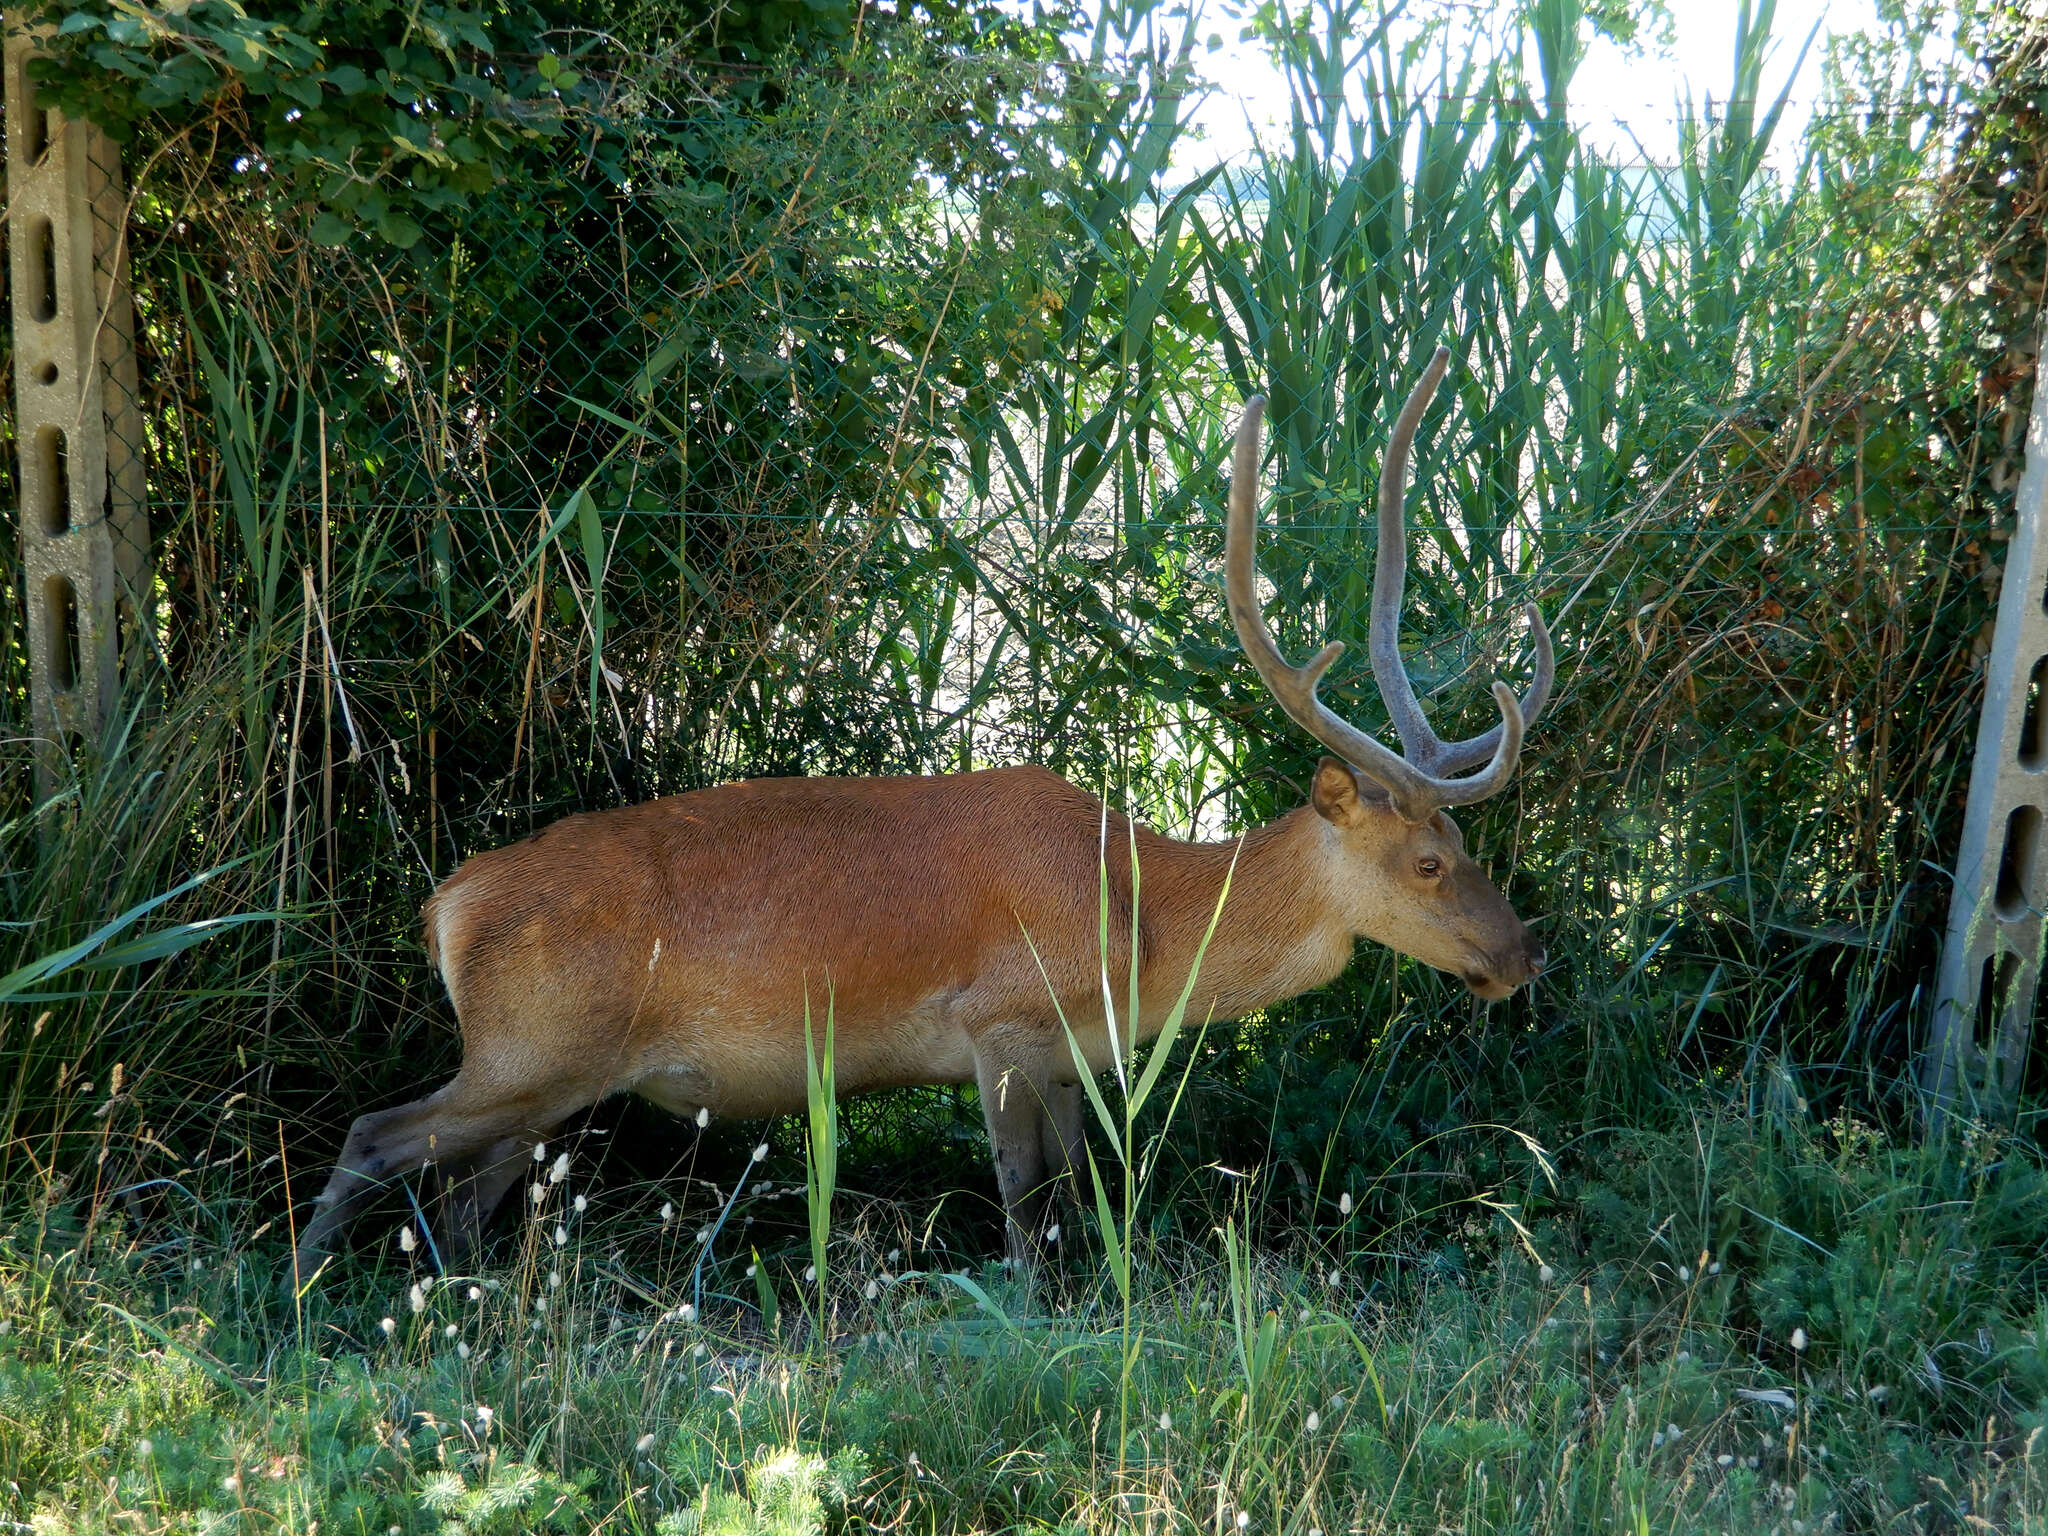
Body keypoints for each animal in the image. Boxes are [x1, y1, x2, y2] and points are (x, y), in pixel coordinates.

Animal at [296, 348, 1548, 1286]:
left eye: (1463, 845)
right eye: (1427, 860)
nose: (1522, 954)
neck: (1140, 929)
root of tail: (445, 906)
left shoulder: (1072, 1054)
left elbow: (1071, 1194)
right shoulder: (999, 1017)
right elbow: (1022, 1204)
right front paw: (1032, 1314)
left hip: (547, 1079)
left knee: (464, 1194)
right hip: (531, 1044)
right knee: (374, 1136)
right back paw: (304, 1297)